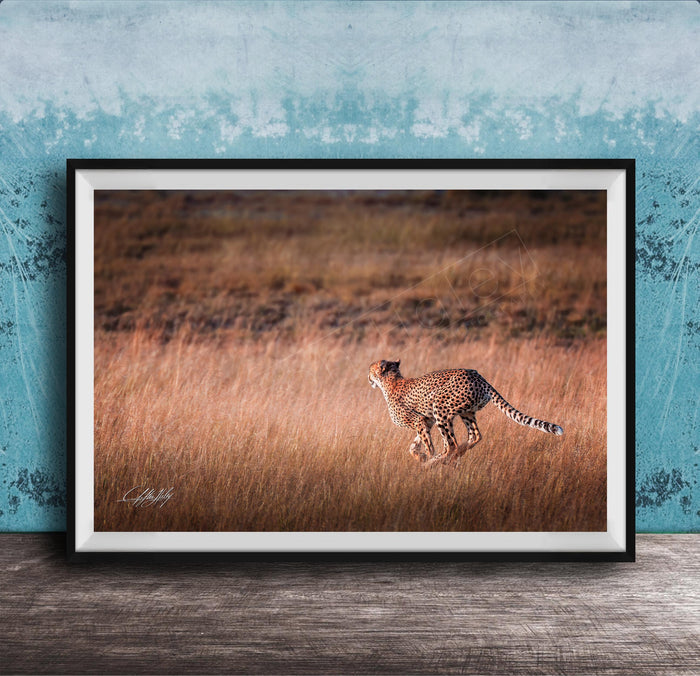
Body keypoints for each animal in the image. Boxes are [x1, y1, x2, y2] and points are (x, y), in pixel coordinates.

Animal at [368, 359, 563, 464]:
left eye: (370, 370)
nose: (368, 377)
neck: (391, 381)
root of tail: (478, 376)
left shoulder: (419, 421)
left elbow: (428, 444)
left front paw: (427, 458)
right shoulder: (426, 421)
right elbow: (414, 444)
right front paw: (419, 456)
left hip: (440, 407)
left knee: (451, 444)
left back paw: (437, 461)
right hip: (466, 412)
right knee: (474, 436)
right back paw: (456, 454)